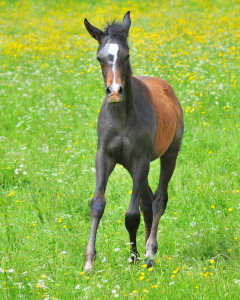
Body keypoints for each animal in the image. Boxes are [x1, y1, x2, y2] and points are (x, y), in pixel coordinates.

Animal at [83, 11, 183, 274]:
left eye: (126, 55)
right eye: (99, 57)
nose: (115, 91)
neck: (121, 117)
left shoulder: (140, 160)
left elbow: (131, 214)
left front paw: (138, 257)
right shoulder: (105, 157)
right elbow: (97, 204)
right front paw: (89, 262)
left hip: (168, 156)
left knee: (159, 200)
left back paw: (150, 252)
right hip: (131, 164)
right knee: (147, 201)